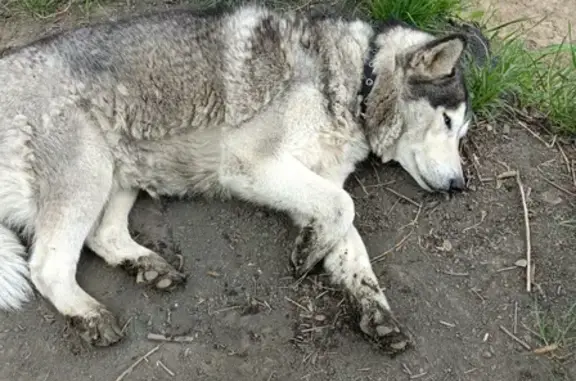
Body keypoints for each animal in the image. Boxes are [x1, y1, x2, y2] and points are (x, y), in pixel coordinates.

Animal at [0, 3, 472, 354]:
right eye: (448, 122)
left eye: (462, 131)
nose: (459, 186)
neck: (359, 79)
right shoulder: (252, 163)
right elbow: (345, 207)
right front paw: (309, 255)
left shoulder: (315, 183)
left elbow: (349, 245)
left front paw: (374, 309)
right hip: (88, 172)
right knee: (47, 265)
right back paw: (89, 314)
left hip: (123, 172)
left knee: (103, 235)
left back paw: (148, 267)